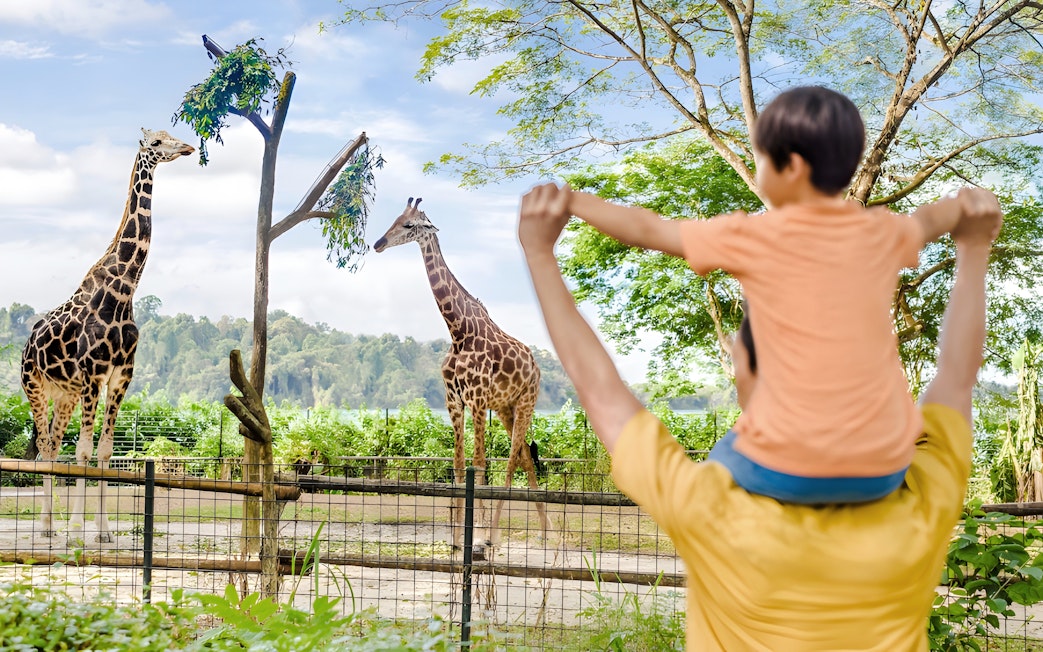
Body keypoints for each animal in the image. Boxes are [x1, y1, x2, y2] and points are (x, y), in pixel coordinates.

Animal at [21, 128, 194, 542]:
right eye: (157, 142)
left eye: (171, 136)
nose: (187, 147)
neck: (124, 291)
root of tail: (27, 345)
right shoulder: (93, 374)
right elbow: (83, 451)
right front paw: (78, 529)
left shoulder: (120, 377)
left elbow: (104, 451)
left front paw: (102, 531)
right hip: (34, 386)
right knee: (46, 445)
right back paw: (48, 527)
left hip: (64, 395)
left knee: (52, 446)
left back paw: (50, 525)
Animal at [373, 197, 551, 555]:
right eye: (395, 218)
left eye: (409, 225)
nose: (378, 244)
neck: (458, 330)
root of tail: (537, 367)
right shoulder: (453, 401)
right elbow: (457, 467)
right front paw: (456, 541)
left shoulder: (477, 400)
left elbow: (479, 464)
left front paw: (478, 538)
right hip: (507, 408)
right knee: (525, 456)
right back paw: (547, 533)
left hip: (526, 403)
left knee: (511, 461)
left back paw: (496, 535)